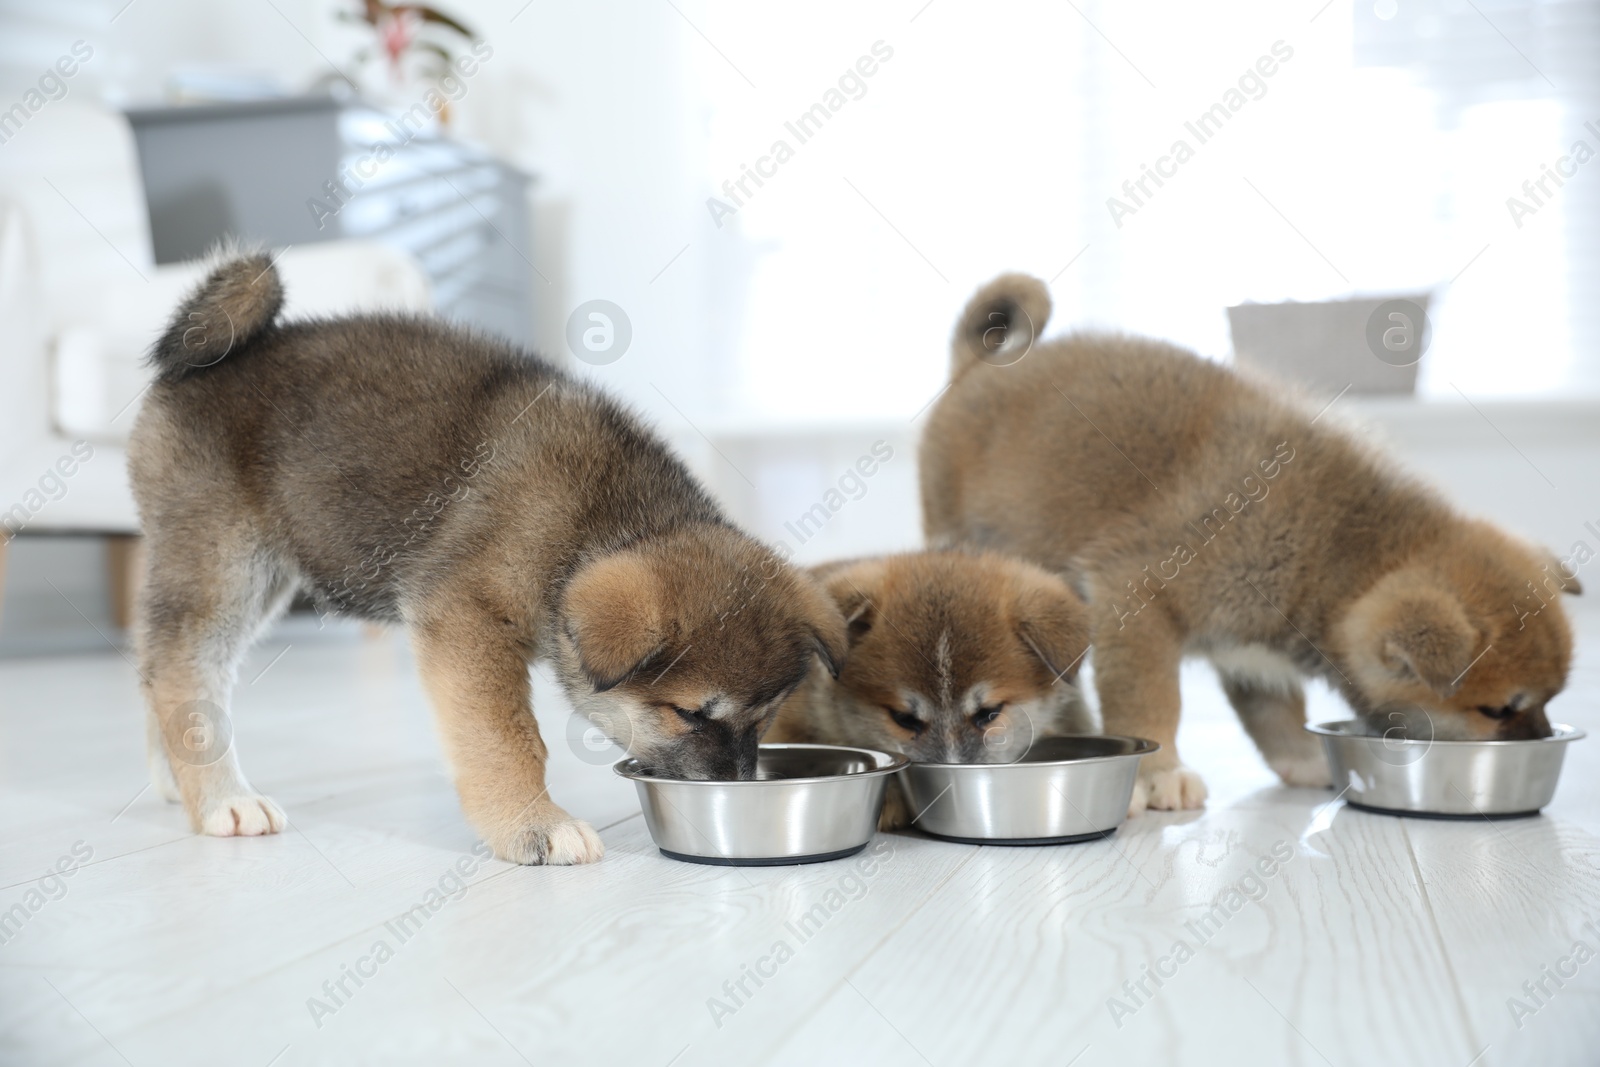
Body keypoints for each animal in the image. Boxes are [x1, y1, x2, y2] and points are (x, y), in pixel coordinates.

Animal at [921, 271, 1580, 812]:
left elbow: (1277, 718)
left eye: (1549, 699)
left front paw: (1308, 762)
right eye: (1497, 709)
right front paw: (1159, 774)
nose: (1546, 741)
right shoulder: (1134, 600)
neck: (1337, 549)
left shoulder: (1255, 654)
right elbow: (1152, 704)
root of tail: (979, 369)